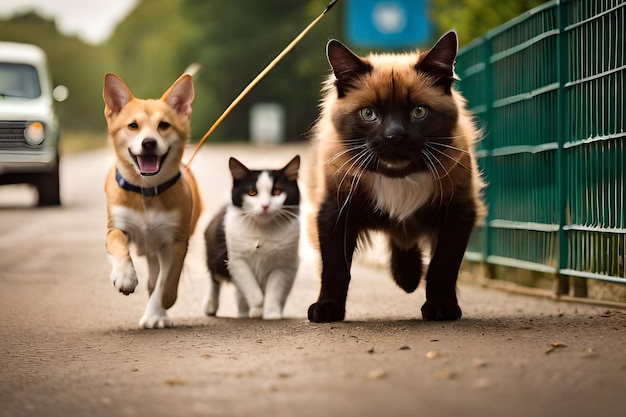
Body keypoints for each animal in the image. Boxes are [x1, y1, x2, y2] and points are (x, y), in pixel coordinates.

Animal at [101, 74, 201, 328]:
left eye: (163, 125)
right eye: (132, 125)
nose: (148, 143)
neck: (147, 191)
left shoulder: (175, 241)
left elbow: (166, 282)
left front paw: (161, 307)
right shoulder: (116, 227)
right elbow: (117, 243)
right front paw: (124, 276)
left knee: (157, 279)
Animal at [205, 156, 300, 318]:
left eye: (277, 191)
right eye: (252, 192)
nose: (265, 206)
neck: (262, 229)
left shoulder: (285, 265)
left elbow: (275, 290)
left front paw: (272, 314)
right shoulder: (236, 260)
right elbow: (251, 287)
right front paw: (258, 306)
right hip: (216, 257)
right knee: (214, 279)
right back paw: (212, 306)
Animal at [306, 30, 482, 322]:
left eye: (419, 111)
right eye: (368, 113)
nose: (394, 136)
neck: (398, 177)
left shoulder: (458, 211)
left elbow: (442, 266)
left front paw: (441, 306)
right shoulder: (335, 211)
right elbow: (335, 268)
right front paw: (327, 307)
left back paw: (408, 277)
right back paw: (407, 276)